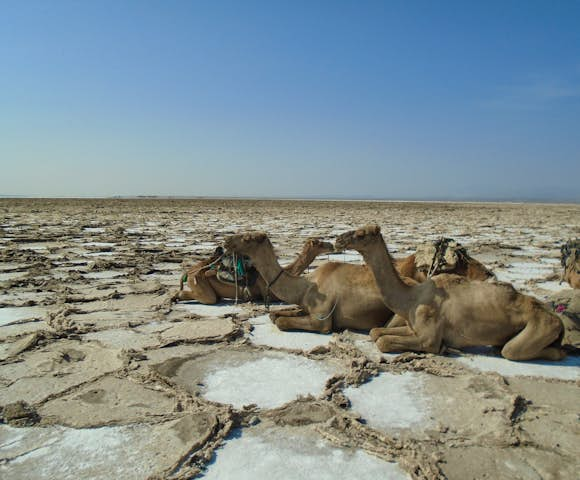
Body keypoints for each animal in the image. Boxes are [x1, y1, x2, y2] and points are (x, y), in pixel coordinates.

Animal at [174, 236, 334, 304]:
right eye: (319, 243)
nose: (331, 245)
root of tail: (187, 272)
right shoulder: (269, 294)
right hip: (199, 281)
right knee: (209, 298)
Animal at [336, 225, 568, 360]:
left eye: (361, 234)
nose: (338, 239)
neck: (411, 298)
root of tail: (558, 320)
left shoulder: (428, 337)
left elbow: (383, 341)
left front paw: (442, 349)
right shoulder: (413, 328)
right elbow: (376, 332)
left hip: (540, 327)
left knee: (513, 351)